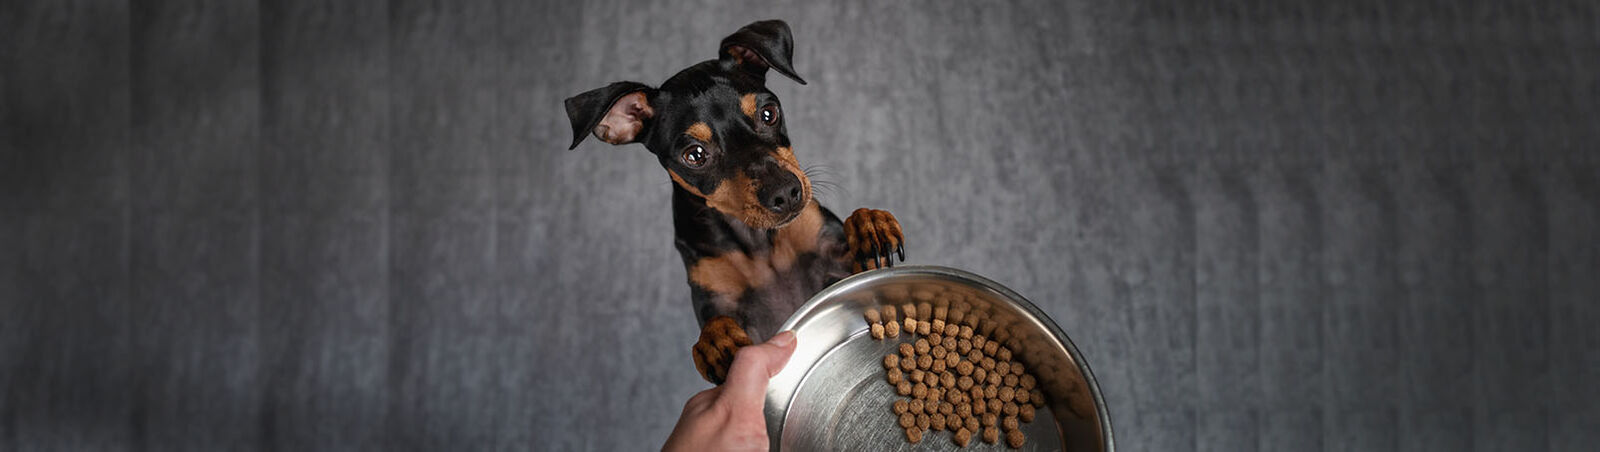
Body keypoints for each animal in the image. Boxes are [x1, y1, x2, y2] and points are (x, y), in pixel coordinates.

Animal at [566, 19, 908, 383]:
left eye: (769, 113)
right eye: (694, 155)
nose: (786, 194)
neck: (757, 242)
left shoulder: (842, 265)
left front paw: (869, 222)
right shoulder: (719, 300)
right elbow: (715, 325)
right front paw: (716, 340)